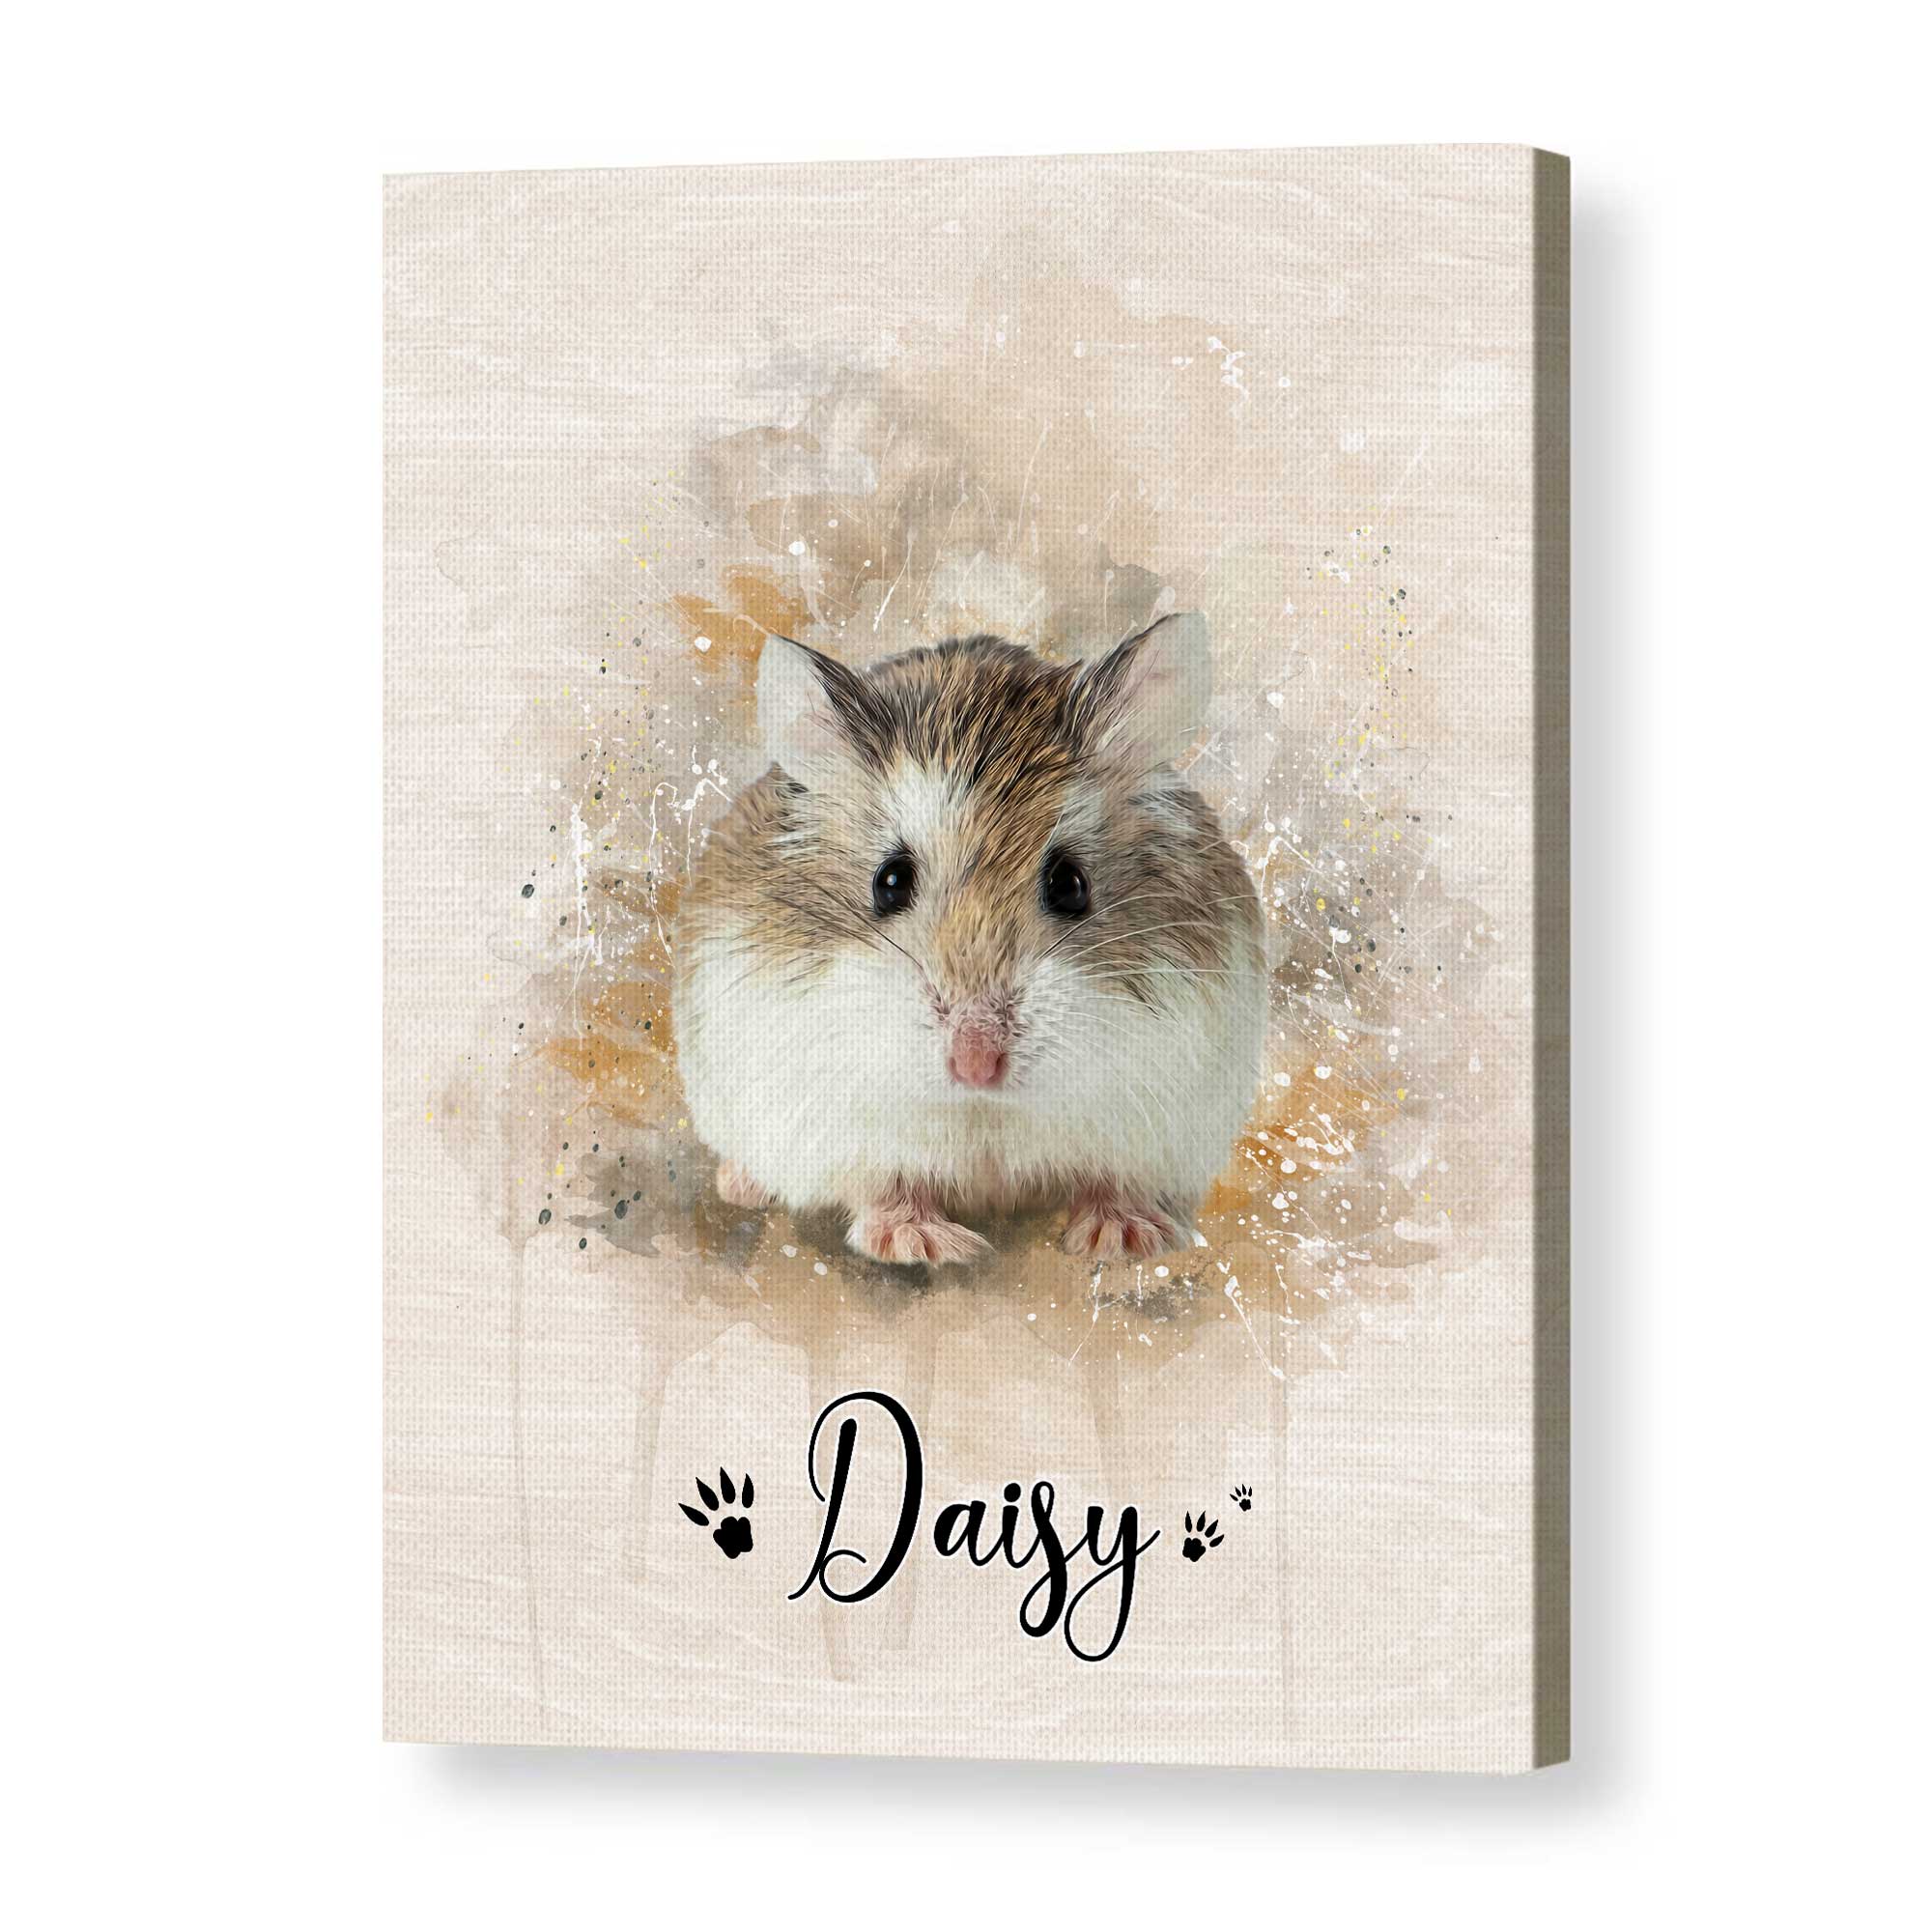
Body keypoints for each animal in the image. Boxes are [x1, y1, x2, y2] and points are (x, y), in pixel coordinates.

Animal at [671, 614, 1267, 1267]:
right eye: (889, 882)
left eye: (1071, 885)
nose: (976, 1065)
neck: (982, 1112)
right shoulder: (840, 1126)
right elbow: (886, 1187)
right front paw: (924, 1244)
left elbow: (1115, 1182)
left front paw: (1125, 1236)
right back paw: (741, 1185)